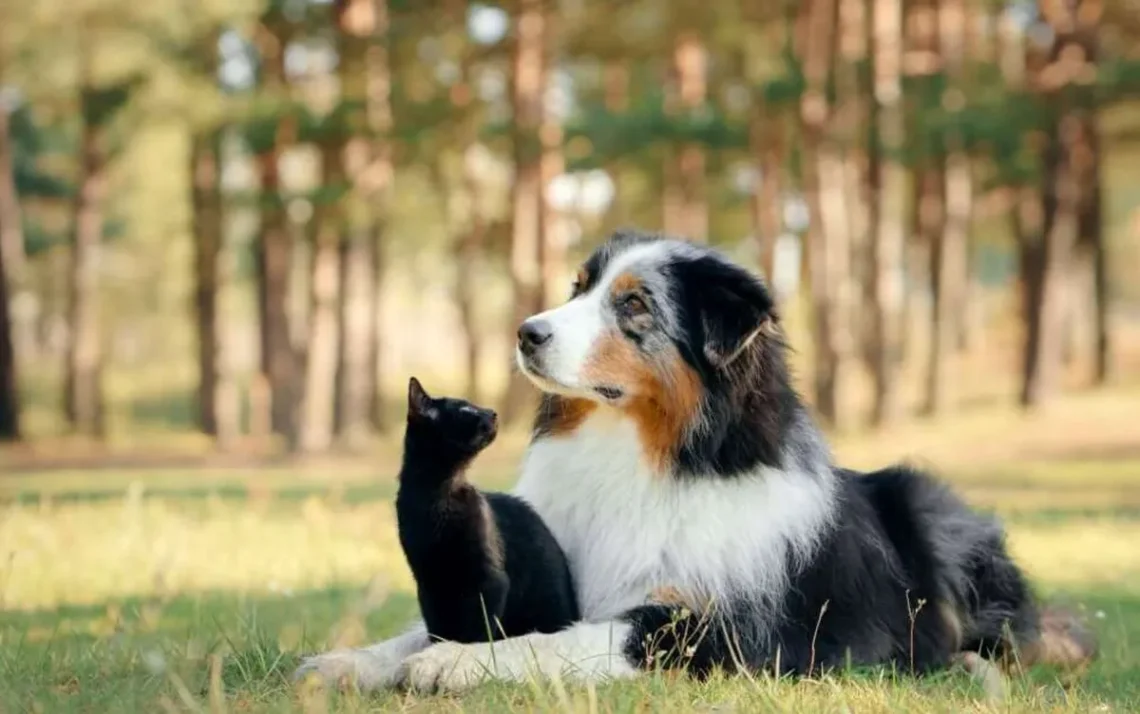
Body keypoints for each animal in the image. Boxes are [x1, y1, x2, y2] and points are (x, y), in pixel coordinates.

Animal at [399, 376, 579, 643]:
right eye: (466, 409)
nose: (492, 412)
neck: (438, 495)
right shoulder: (429, 584)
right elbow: (438, 629)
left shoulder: (490, 580)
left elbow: (476, 632)